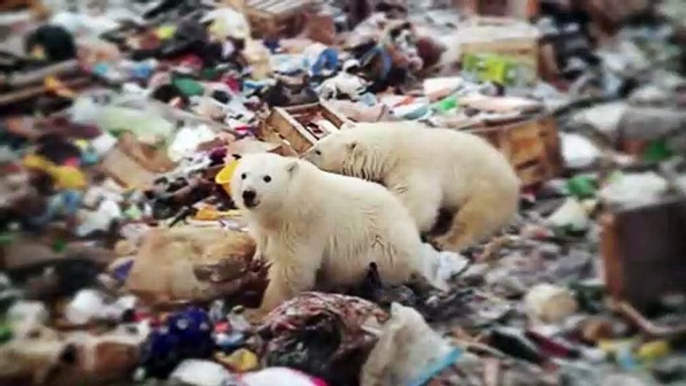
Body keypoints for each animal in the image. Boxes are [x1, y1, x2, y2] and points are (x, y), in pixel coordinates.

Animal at [228, 152, 448, 312]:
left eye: (267, 178)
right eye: (243, 174)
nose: (248, 193)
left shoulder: (302, 226)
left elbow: (292, 270)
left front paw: (263, 310)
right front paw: (257, 259)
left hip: (376, 252)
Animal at [304, 122, 520, 252]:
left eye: (318, 151)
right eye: (318, 143)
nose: (303, 156)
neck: (392, 143)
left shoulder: (415, 164)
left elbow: (418, 203)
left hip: (487, 189)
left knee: (474, 217)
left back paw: (444, 241)